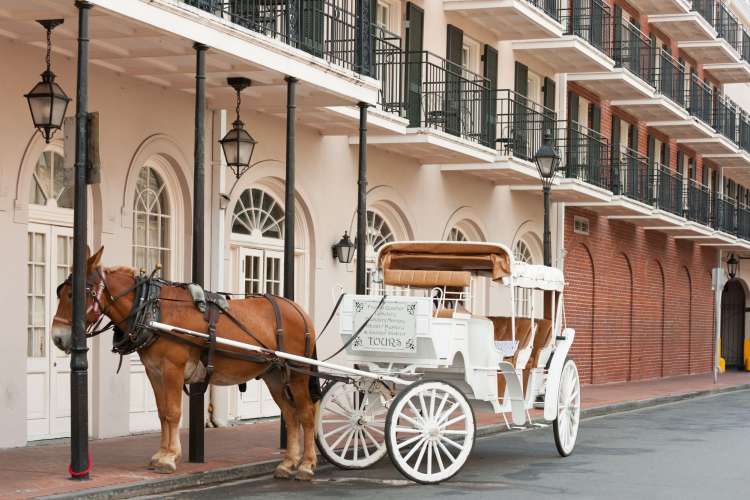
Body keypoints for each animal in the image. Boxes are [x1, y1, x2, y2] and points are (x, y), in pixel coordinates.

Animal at [51, 248, 322, 478]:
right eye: (60, 292)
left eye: (74, 294)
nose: (57, 337)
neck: (153, 309)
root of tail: (299, 310)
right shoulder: (154, 371)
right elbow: (162, 413)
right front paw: (161, 454)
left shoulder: (173, 368)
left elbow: (173, 412)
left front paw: (170, 457)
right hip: (274, 374)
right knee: (290, 415)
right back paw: (288, 463)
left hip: (298, 374)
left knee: (307, 414)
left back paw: (307, 464)